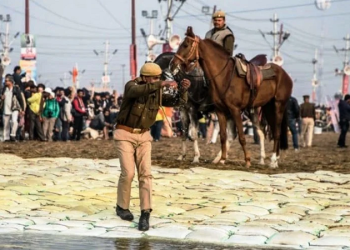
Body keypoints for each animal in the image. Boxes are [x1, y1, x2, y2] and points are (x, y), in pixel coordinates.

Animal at [170, 26, 292, 168]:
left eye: (185, 45)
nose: (172, 64)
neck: (224, 76)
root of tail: (285, 75)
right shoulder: (219, 111)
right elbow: (222, 136)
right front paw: (222, 159)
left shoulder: (233, 110)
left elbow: (240, 136)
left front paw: (247, 161)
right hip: (266, 108)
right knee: (263, 131)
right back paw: (267, 159)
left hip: (278, 105)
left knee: (276, 132)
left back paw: (272, 161)